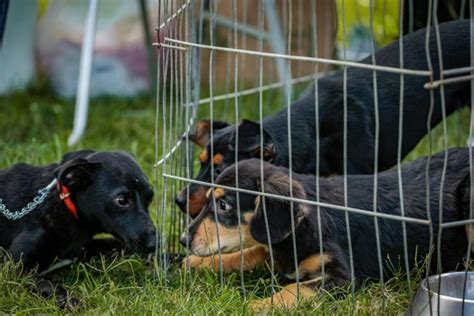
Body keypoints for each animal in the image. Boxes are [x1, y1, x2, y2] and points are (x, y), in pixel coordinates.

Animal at [0, 151, 156, 308]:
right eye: (122, 200)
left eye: (150, 198)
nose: (153, 245)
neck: (65, 205)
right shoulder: (14, 270)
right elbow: (49, 286)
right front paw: (72, 302)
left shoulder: (85, 248)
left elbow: (117, 244)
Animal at [181, 148, 470, 308]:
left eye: (224, 205)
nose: (183, 239)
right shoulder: (274, 250)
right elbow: (245, 253)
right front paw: (193, 263)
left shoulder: (341, 278)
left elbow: (294, 288)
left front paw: (256, 305)